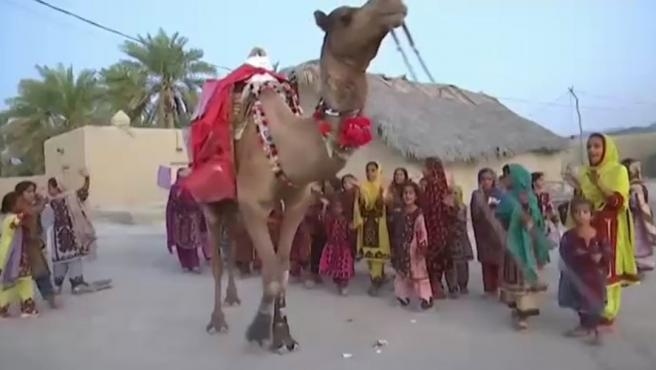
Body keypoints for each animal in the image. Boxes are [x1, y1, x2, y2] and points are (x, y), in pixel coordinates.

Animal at [190, 0, 404, 352]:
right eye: (345, 17)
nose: (394, 6)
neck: (286, 141)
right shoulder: (255, 205)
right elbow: (271, 273)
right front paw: (258, 330)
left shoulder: (295, 205)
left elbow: (284, 269)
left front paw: (283, 334)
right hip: (211, 196)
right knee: (218, 260)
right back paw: (217, 320)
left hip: (234, 204)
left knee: (231, 245)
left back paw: (234, 299)